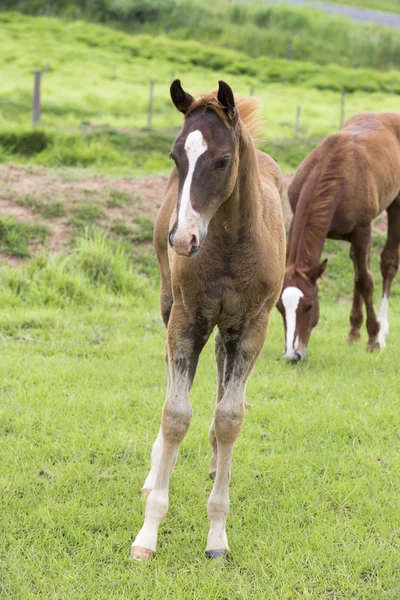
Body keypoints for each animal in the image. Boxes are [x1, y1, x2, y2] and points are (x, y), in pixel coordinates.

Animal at [130, 78, 284, 556]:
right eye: (175, 156)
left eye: (223, 159)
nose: (182, 239)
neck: (230, 243)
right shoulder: (186, 320)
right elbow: (176, 414)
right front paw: (147, 533)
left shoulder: (252, 328)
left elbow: (230, 417)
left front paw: (217, 535)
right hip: (170, 305)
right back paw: (155, 471)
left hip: (228, 329)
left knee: (220, 372)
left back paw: (216, 460)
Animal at [276, 111, 400, 360]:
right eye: (279, 307)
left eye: (309, 306)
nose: (292, 355)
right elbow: (360, 276)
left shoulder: (363, 229)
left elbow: (366, 281)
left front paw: (374, 339)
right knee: (357, 265)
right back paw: (354, 330)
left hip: (396, 204)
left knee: (387, 263)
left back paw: (382, 330)